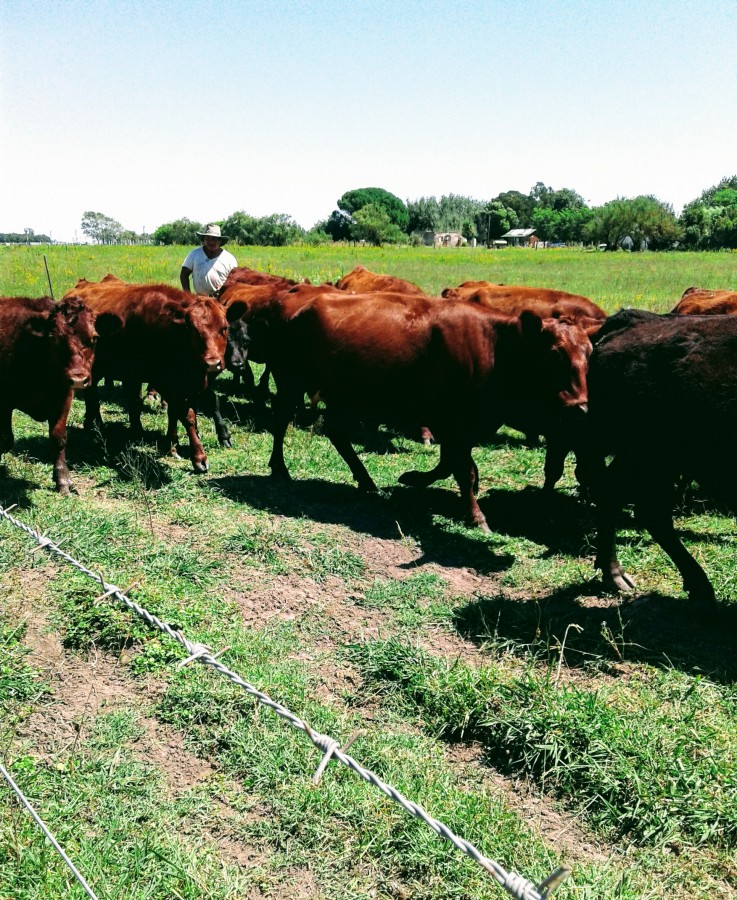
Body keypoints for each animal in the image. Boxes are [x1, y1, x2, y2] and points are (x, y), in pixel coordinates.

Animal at [0, 296, 120, 492]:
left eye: (94, 338)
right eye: (54, 338)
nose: (78, 379)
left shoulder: (63, 398)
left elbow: (59, 438)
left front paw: (63, 480)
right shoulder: (4, 402)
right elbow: (5, 440)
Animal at [62, 282, 246, 472]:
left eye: (224, 328)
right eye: (192, 330)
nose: (212, 363)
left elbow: (184, 409)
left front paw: (173, 444)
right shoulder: (164, 381)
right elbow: (186, 415)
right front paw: (198, 457)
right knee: (93, 396)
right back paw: (97, 426)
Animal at [264, 290, 588, 528]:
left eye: (588, 352)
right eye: (555, 354)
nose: (580, 407)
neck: (496, 346)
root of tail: (295, 302)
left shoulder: (459, 428)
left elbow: (454, 465)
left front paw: (415, 479)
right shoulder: (454, 424)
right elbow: (461, 469)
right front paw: (476, 515)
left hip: (345, 397)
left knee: (336, 433)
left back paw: (366, 482)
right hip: (292, 381)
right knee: (282, 418)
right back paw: (280, 468)